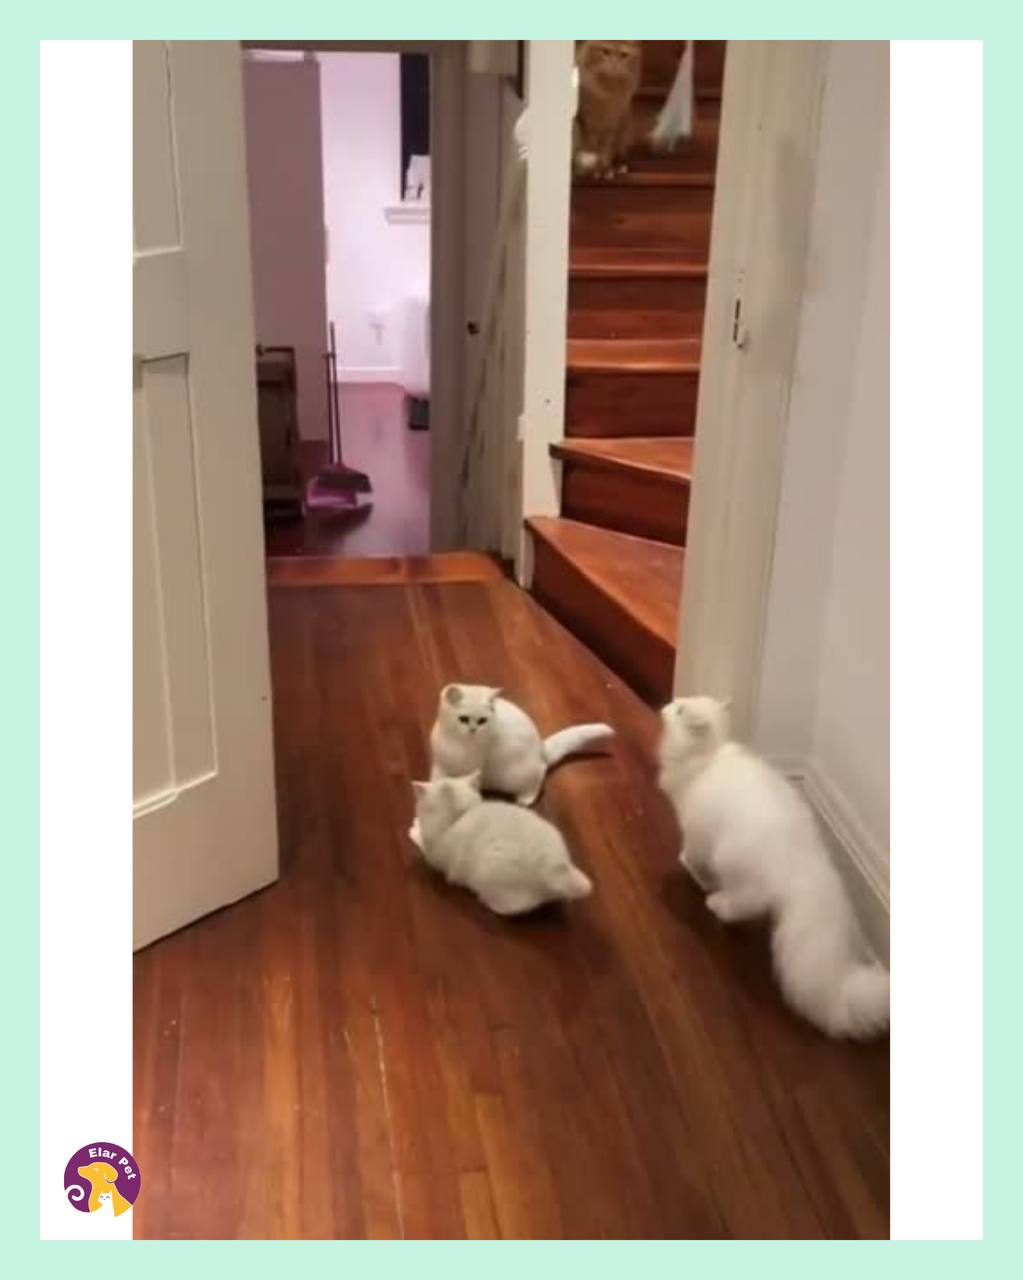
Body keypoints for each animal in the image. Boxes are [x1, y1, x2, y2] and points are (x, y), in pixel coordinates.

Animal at [411, 773, 593, 915]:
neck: (460, 816)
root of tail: (558, 868)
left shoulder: (434, 854)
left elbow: (422, 841)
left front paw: (414, 828)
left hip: (491, 870)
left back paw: (486, 902)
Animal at [429, 684, 613, 805]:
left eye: (482, 721)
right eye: (463, 719)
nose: (473, 729)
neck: (456, 741)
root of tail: (541, 749)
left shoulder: (472, 769)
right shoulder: (441, 764)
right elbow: (437, 779)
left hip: (514, 775)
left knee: (540, 772)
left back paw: (526, 799)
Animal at [573, 40, 643, 178]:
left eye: (623, 55)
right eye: (606, 52)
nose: (614, 63)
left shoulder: (613, 125)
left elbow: (606, 151)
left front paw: (606, 169)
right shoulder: (586, 122)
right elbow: (591, 148)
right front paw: (597, 170)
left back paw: (619, 166)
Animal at [657, 695, 890, 1039]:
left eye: (680, 710)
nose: (669, 702)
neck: (705, 759)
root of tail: (806, 868)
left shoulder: (696, 831)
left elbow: (692, 855)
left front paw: (691, 869)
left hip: (733, 863)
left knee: (745, 904)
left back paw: (717, 903)